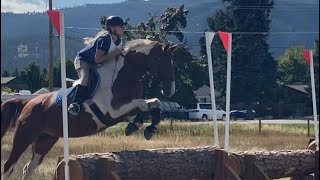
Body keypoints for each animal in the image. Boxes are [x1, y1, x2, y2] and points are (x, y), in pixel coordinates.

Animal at [0, 38, 178, 179]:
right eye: (160, 61)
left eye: (172, 63)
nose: (170, 91)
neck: (125, 74)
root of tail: (28, 103)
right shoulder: (114, 110)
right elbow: (143, 104)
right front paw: (137, 127)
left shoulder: (123, 112)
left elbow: (154, 104)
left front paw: (145, 128)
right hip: (24, 135)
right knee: (9, 165)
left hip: (46, 140)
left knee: (28, 168)